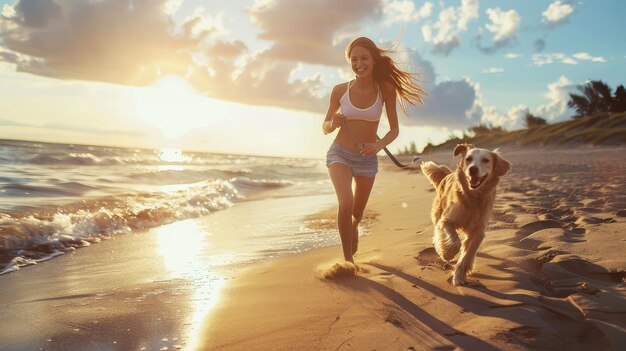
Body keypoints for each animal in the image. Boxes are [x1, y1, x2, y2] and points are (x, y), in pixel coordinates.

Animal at [416, 145, 510, 286]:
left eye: (486, 160)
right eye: (468, 159)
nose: (472, 169)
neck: (474, 197)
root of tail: (447, 175)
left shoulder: (479, 231)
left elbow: (468, 252)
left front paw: (459, 275)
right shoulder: (446, 220)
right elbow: (455, 242)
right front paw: (447, 254)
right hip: (437, 214)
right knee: (438, 232)